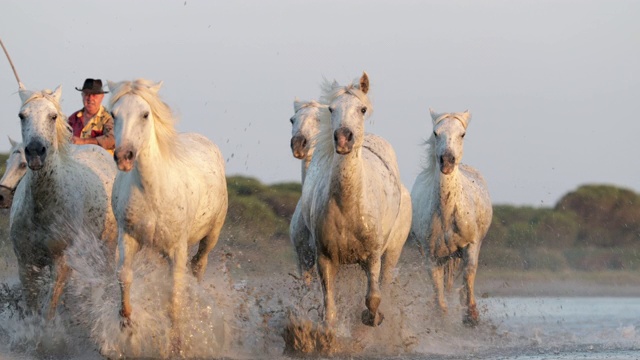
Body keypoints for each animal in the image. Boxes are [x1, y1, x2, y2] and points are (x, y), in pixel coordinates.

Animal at [10, 86, 117, 320]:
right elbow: (32, 311)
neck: (43, 207)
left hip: (107, 249)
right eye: (22, 115)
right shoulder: (26, 264)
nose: (35, 152)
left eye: (53, 116)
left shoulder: (62, 264)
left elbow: (48, 312)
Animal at [109, 79, 229, 344]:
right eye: (113, 114)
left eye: (145, 114)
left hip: (211, 236)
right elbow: (125, 276)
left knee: (198, 266)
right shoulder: (128, 238)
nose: (124, 157)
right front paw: (126, 323)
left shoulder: (178, 248)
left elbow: (174, 296)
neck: (153, 191)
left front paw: (177, 342)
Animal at [298, 72, 410, 326]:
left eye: (362, 109)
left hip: (391, 254)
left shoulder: (373, 257)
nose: (342, 138)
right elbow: (329, 309)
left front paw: (372, 318)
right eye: (331, 108)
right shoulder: (325, 259)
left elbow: (373, 298)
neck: (348, 204)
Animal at [408, 108, 492, 324]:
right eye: (436, 133)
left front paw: (471, 315)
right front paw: (440, 314)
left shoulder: (471, 245)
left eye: (462, 134)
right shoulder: (431, 255)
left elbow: (469, 274)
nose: (447, 161)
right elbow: (436, 284)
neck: (447, 214)